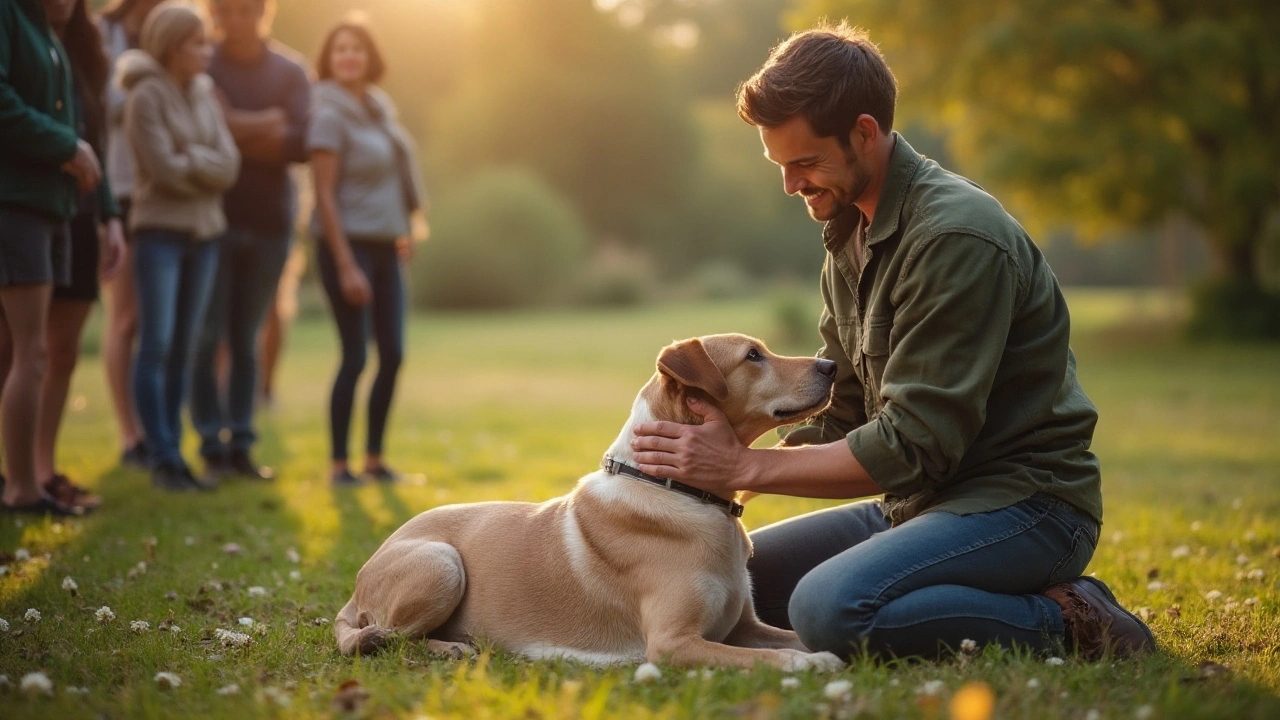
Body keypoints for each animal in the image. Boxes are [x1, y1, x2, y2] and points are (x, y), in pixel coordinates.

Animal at [335, 333, 844, 671]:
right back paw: (448, 648)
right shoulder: (672, 643)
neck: (679, 492)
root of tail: (359, 581)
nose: (832, 366)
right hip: (441, 562)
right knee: (387, 638)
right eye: (753, 356)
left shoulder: (744, 628)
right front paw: (813, 662)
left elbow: (789, 637)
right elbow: (773, 656)